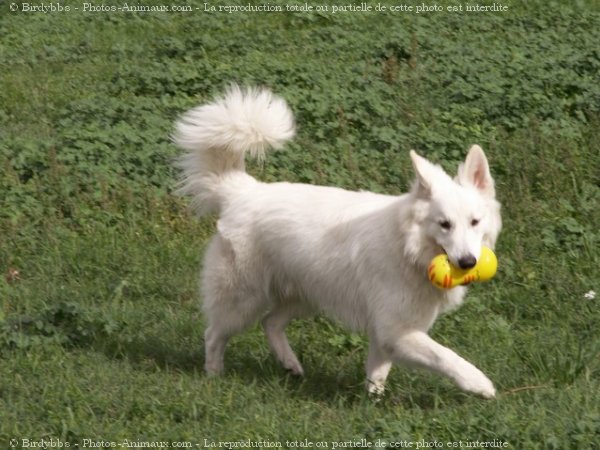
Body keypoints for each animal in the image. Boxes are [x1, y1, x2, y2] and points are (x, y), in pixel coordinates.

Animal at [173, 86, 502, 400]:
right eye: (444, 224)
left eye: (475, 222)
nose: (468, 262)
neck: (407, 247)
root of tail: (242, 189)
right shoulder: (397, 331)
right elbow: (445, 356)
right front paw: (479, 383)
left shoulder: (386, 333)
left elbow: (377, 371)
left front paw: (373, 401)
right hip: (243, 300)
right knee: (214, 334)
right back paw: (214, 375)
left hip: (305, 296)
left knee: (270, 323)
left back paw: (290, 365)